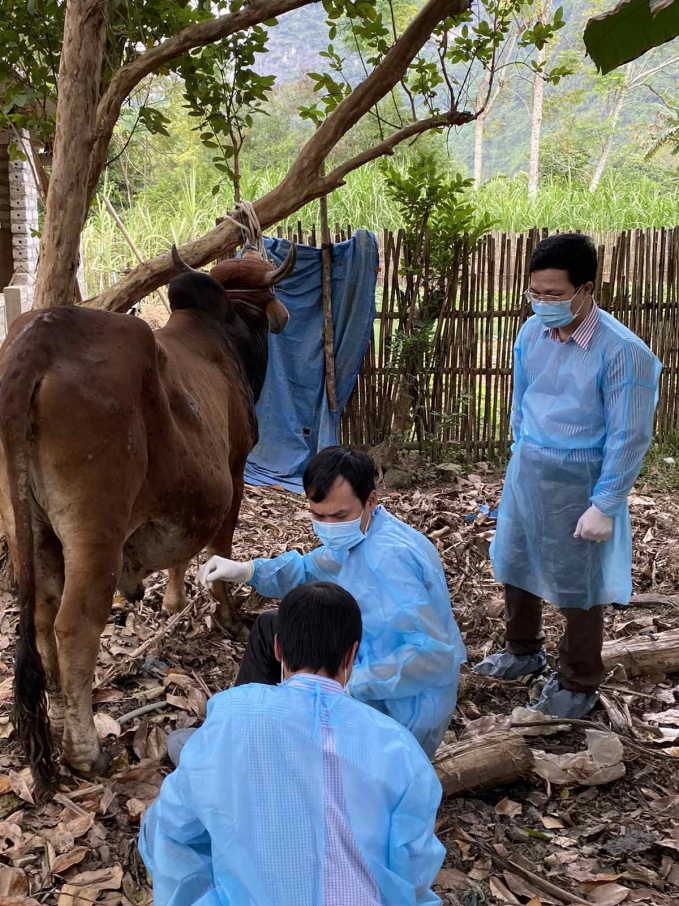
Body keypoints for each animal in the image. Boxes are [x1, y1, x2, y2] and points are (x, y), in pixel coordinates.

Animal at [0, 242, 298, 792]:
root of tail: (38, 340)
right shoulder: (236, 469)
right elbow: (219, 547)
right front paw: (226, 616)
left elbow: (184, 546)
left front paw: (174, 601)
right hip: (95, 528)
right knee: (74, 626)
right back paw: (85, 752)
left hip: (29, 528)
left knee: (42, 620)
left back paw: (59, 722)